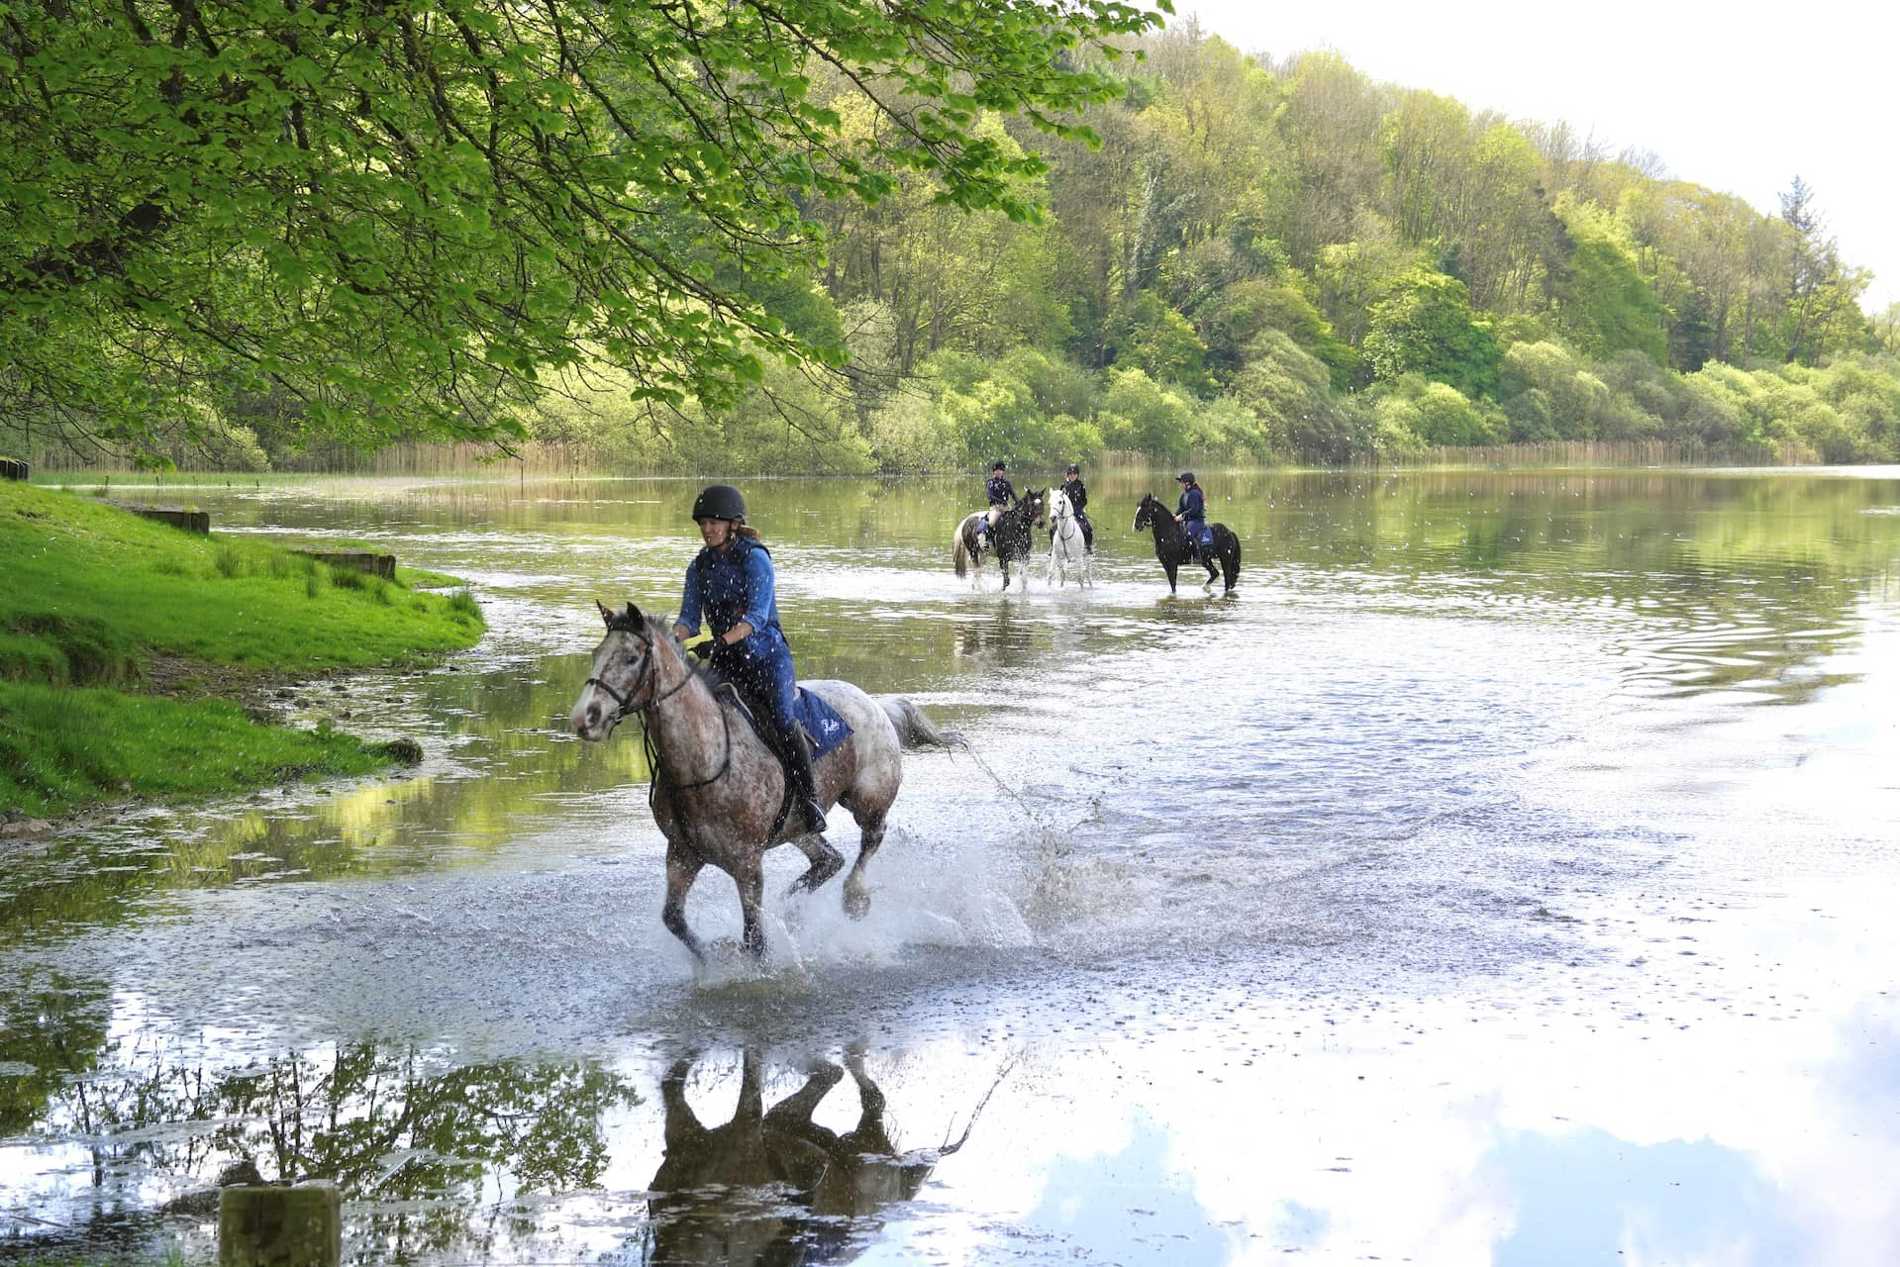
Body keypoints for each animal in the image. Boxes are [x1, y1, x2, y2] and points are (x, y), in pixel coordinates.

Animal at [562, 604, 950, 961]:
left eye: (630, 658)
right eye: (597, 654)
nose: (584, 718)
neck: (704, 759)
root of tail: (877, 704)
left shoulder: (747, 863)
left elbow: (755, 941)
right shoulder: (682, 854)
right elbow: (674, 919)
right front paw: (712, 959)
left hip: (867, 800)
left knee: (871, 839)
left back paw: (854, 898)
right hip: (797, 827)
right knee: (828, 860)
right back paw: (791, 912)